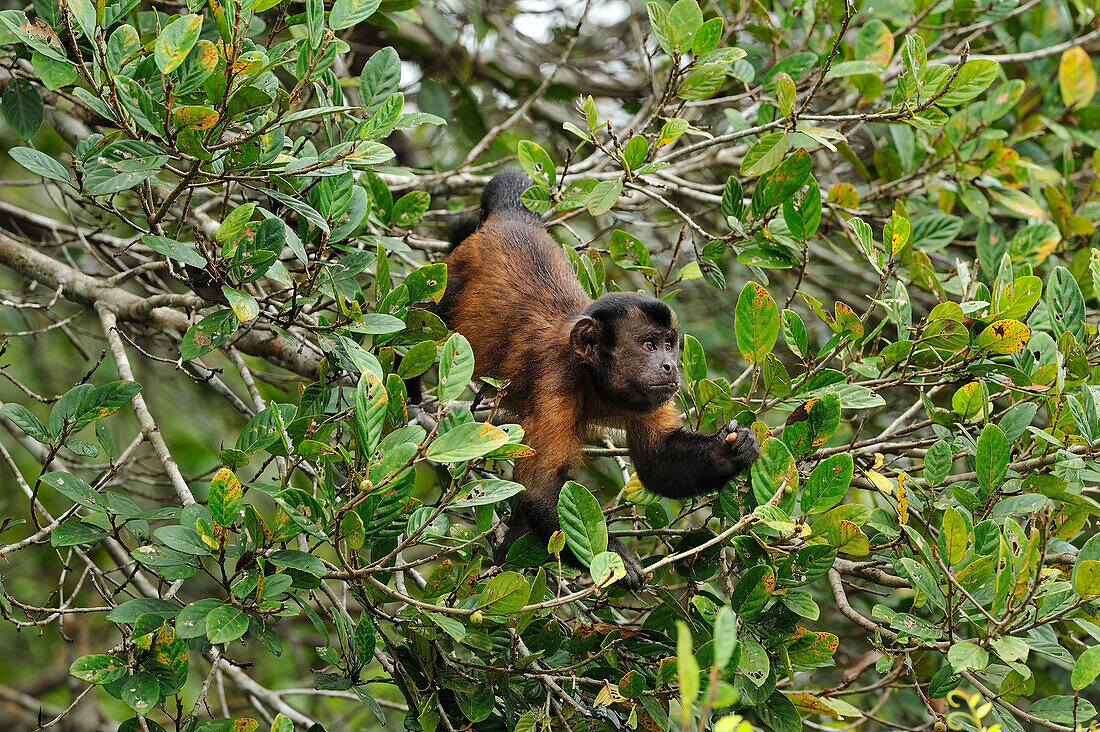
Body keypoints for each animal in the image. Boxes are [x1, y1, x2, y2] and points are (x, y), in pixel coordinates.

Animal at [433, 169, 761, 590]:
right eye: (649, 345)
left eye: (670, 345)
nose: (670, 366)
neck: (594, 380)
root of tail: (511, 219)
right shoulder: (556, 381)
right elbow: (539, 487)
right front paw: (615, 557)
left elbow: (658, 462)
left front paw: (731, 451)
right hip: (452, 277)